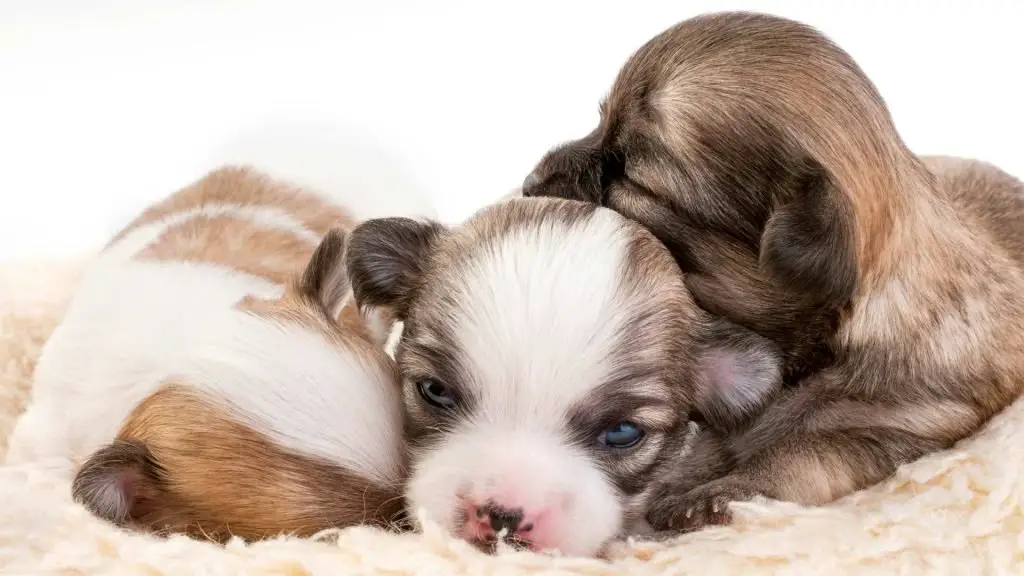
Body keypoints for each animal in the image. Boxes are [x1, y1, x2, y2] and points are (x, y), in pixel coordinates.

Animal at [520, 10, 1024, 528]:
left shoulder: (906, 429)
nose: (528, 182)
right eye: (600, 123)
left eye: (628, 174)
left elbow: (803, 454)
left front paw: (715, 494)